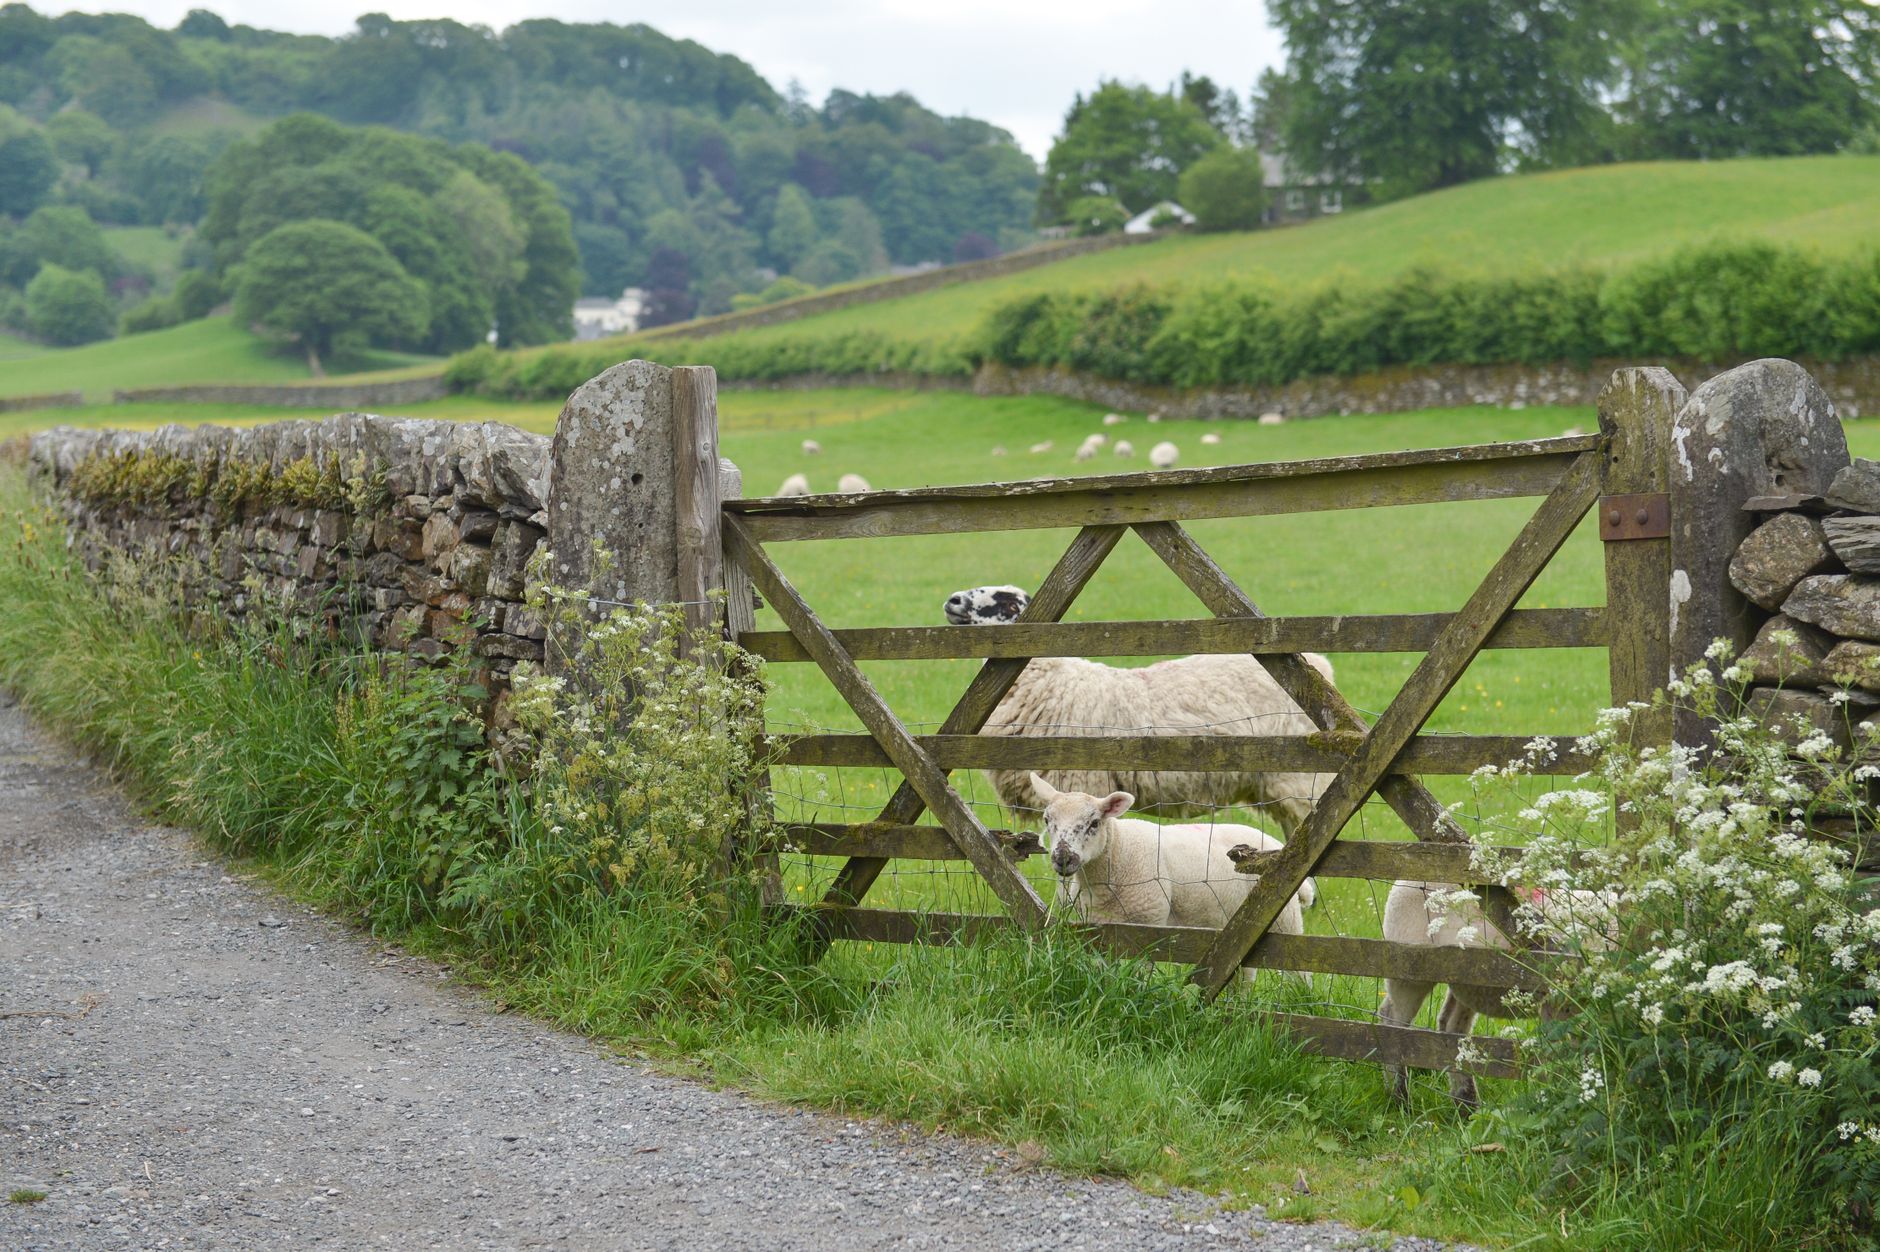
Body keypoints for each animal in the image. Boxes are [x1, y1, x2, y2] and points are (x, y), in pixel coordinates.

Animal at [942, 585, 1335, 839]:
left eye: (1010, 605)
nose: (953, 600)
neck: (1047, 677)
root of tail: (1318, 665)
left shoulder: (1081, 787)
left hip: (1301, 778)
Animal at [1030, 775, 1311, 932]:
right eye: (1046, 820)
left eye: (1094, 823)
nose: (1063, 858)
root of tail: (1274, 842)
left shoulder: (1148, 925)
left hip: (1284, 919)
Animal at [1380, 880, 1619, 1110]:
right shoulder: (1557, 1002)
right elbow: (1561, 1055)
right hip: (1409, 967)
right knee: (1391, 1020)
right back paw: (1400, 1096)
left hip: (1467, 978)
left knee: (1451, 1026)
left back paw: (1466, 1104)